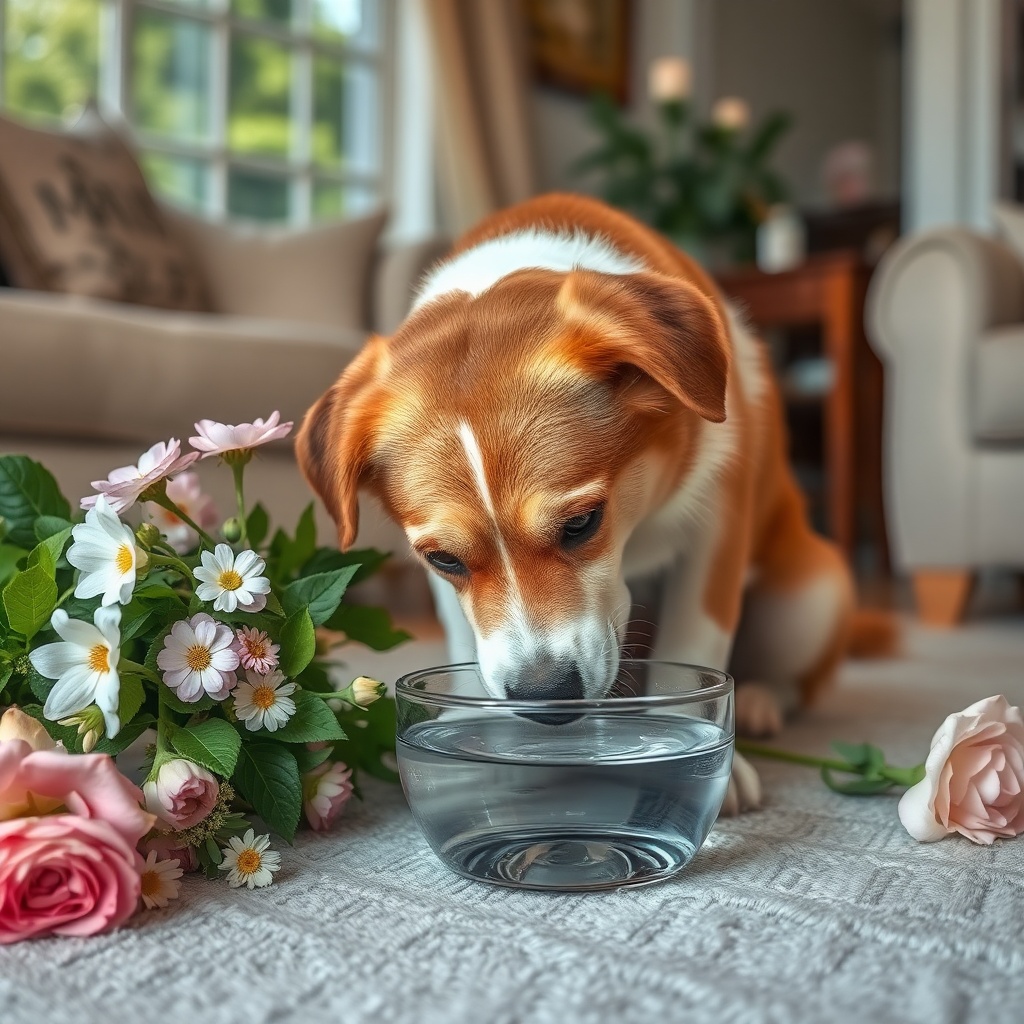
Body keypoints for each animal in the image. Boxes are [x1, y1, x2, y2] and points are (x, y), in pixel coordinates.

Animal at [299, 193, 864, 815]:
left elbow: (696, 641)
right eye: (444, 559)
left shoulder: (718, 525)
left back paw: (762, 699)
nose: (545, 696)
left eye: (581, 523)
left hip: (811, 599)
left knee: (797, 681)